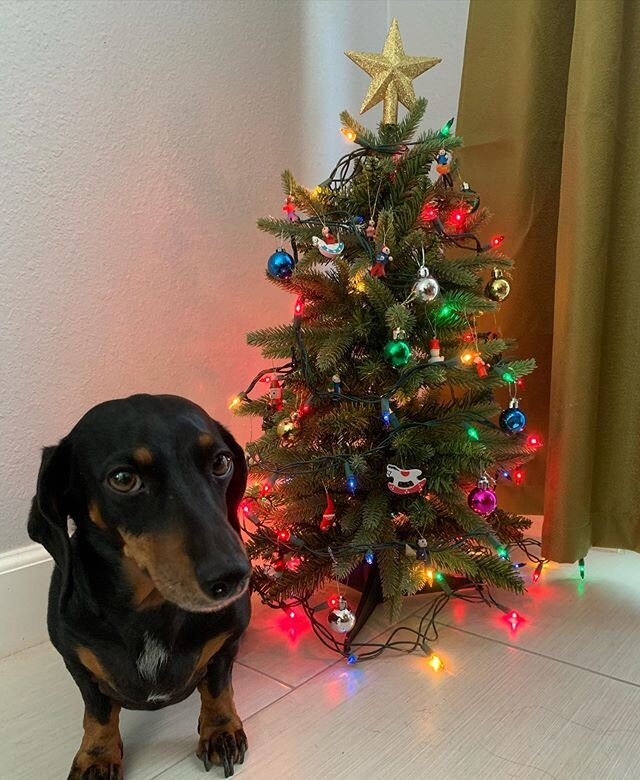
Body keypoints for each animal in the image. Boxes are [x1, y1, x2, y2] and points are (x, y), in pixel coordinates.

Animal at [28, 396, 252, 780]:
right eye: (123, 479)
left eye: (221, 462)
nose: (235, 576)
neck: (150, 609)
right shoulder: (76, 662)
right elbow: (98, 712)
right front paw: (97, 757)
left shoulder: (227, 642)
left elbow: (217, 686)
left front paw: (221, 730)